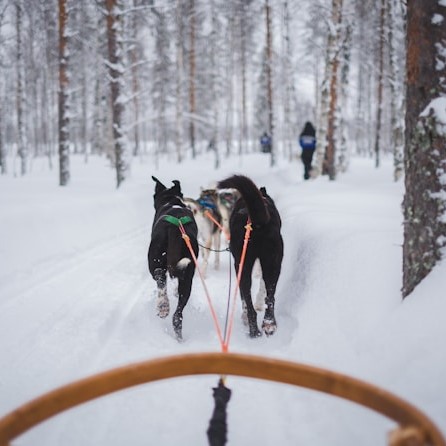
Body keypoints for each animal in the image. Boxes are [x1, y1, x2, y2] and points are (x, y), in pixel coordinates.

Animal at [148, 176, 199, 340]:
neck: (171, 201)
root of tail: (175, 228)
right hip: (188, 276)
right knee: (178, 316)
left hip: (154, 260)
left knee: (159, 277)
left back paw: (163, 306)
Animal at [216, 175, 282, 338]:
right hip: (273, 263)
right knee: (270, 297)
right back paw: (268, 324)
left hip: (243, 265)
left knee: (248, 299)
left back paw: (253, 328)